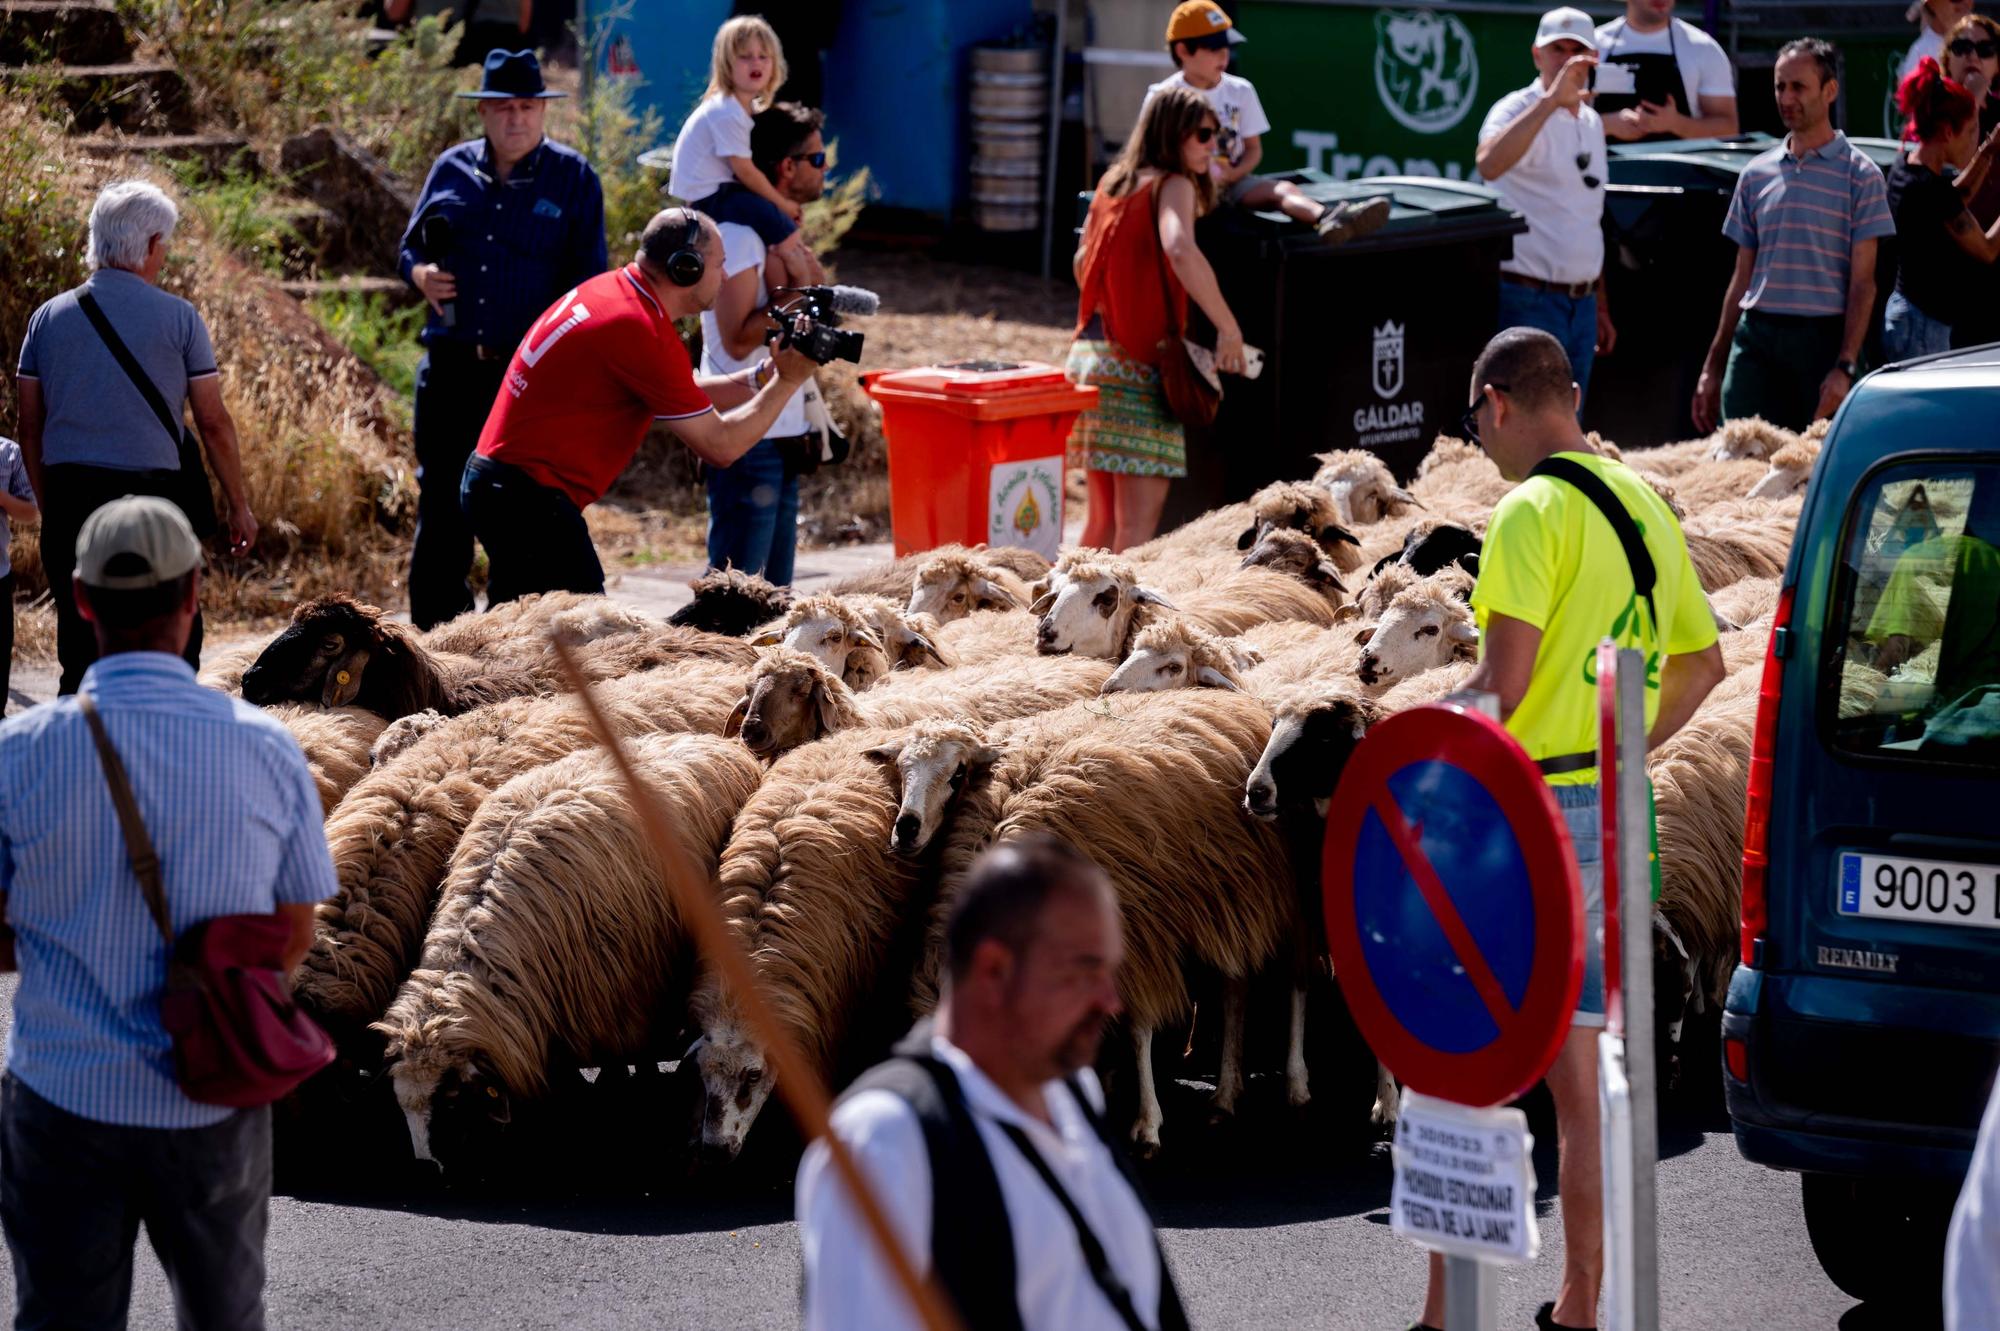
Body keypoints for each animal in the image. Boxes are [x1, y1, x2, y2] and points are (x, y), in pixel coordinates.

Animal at [378, 727, 760, 1159]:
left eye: (451, 1102)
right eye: (402, 1105)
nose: (427, 1164)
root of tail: (717, 740)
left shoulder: (629, 996)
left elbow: (635, 1055)